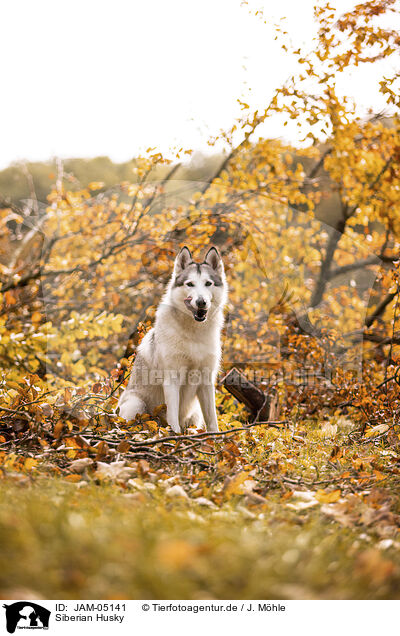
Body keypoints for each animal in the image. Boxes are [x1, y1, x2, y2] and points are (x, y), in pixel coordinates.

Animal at [117, 246, 227, 434]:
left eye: (208, 284)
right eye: (190, 284)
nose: (201, 302)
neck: (193, 332)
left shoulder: (206, 381)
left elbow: (212, 419)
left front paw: (216, 438)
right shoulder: (172, 379)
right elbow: (173, 415)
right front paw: (174, 435)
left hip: (195, 414)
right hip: (135, 405)